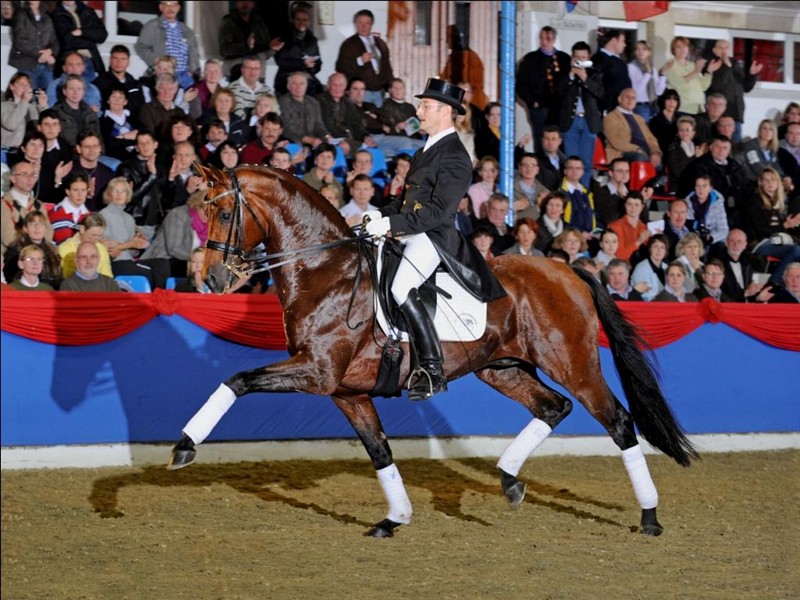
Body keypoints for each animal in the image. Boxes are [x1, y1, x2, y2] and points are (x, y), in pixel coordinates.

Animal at [167, 164, 692, 540]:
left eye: (225, 214)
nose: (211, 278)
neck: (326, 271)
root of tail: (568, 270)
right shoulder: (346, 391)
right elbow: (379, 450)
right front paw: (394, 519)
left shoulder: (316, 373)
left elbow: (237, 380)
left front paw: (185, 446)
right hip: (502, 368)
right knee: (552, 407)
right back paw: (509, 480)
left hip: (573, 365)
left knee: (617, 421)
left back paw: (649, 518)